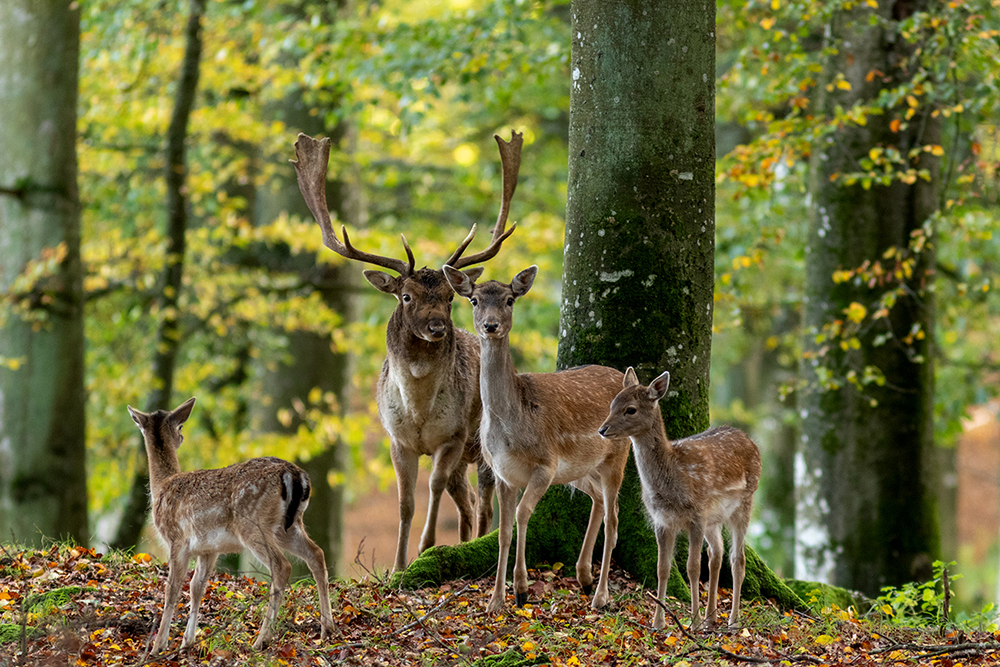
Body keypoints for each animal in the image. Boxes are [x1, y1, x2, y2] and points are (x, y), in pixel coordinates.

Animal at [126, 398, 335, 653]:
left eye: (181, 426)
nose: (182, 437)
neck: (161, 487)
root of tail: (295, 476)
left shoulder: (177, 539)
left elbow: (172, 589)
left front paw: (158, 647)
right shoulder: (208, 549)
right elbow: (196, 587)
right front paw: (187, 642)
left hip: (252, 524)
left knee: (282, 565)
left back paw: (261, 639)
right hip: (288, 526)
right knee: (316, 553)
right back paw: (327, 630)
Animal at [292, 131, 522, 572]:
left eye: (450, 297)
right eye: (406, 295)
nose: (438, 327)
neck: (418, 410)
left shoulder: (453, 436)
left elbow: (432, 487)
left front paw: (425, 548)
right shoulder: (397, 440)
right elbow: (405, 502)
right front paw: (398, 564)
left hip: (483, 442)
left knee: (483, 503)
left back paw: (474, 540)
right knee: (467, 503)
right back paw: (462, 541)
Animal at [442, 264, 632, 613]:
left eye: (509, 300)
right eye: (474, 300)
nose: (491, 325)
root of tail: (629, 380)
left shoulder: (545, 464)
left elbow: (521, 515)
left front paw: (521, 590)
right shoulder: (502, 473)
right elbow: (502, 531)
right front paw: (495, 601)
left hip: (617, 455)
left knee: (614, 519)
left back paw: (600, 596)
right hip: (580, 469)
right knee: (598, 500)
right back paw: (584, 577)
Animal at [598, 368, 762, 631]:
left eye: (630, 409)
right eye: (612, 404)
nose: (602, 429)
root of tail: (751, 441)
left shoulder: (696, 515)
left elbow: (692, 568)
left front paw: (693, 623)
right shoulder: (662, 520)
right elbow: (662, 568)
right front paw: (658, 622)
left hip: (745, 502)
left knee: (738, 559)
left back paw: (733, 620)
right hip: (713, 517)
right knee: (716, 553)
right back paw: (711, 616)